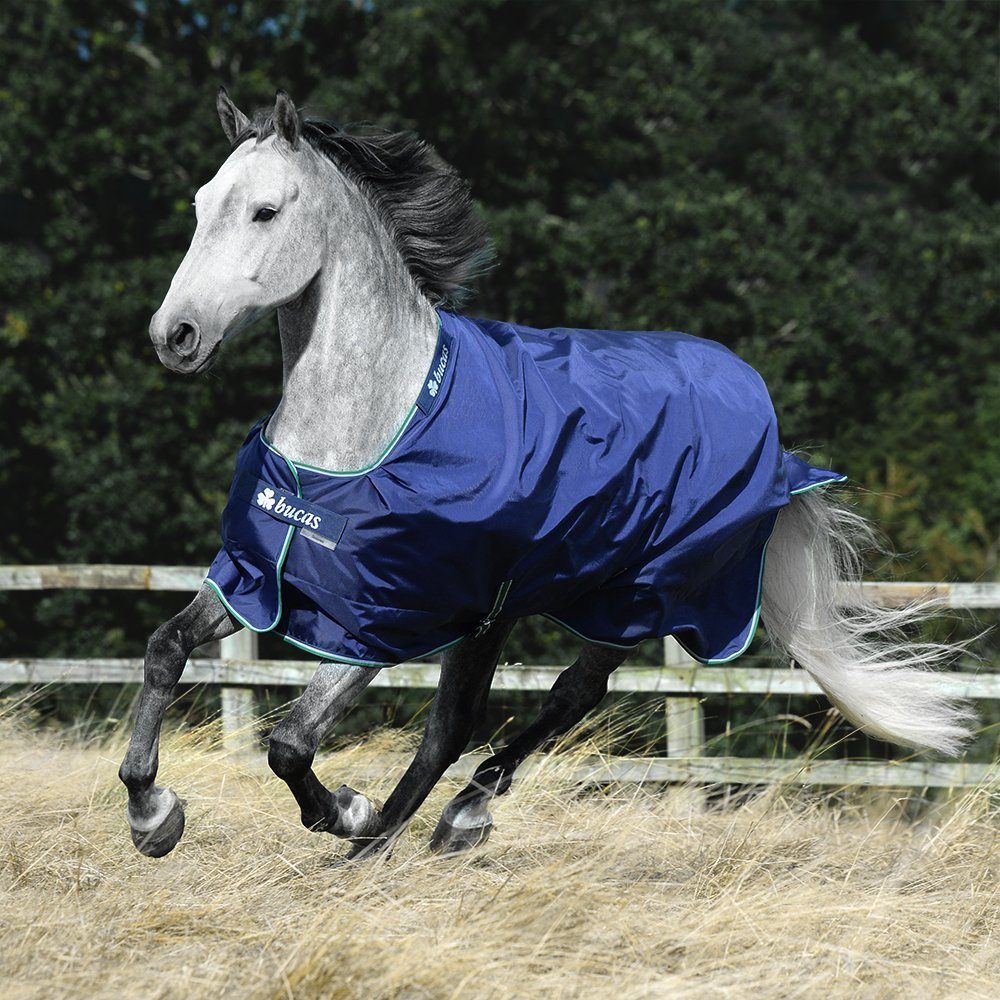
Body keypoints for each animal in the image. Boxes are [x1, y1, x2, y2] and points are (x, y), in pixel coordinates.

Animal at [119, 89, 973, 861]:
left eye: (264, 211)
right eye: (200, 206)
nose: (174, 335)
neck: (365, 432)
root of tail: (769, 426)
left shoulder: (386, 619)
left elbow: (290, 742)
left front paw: (344, 810)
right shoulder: (258, 577)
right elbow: (165, 647)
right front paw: (151, 814)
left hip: (634, 596)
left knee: (557, 699)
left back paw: (426, 826)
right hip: (507, 611)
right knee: (462, 724)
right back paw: (404, 837)